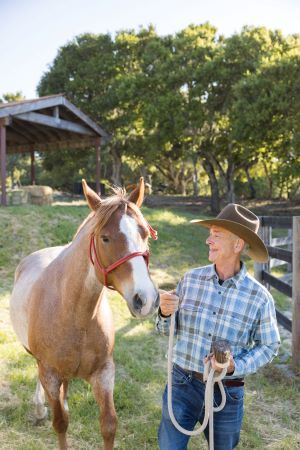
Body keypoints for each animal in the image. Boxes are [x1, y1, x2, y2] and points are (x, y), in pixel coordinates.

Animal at [9, 178, 159, 450]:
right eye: (105, 238)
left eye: (144, 233)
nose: (145, 299)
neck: (75, 315)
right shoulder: (49, 373)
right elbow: (60, 423)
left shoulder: (104, 373)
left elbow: (109, 425)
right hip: (38, 362)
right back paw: (39, 409)